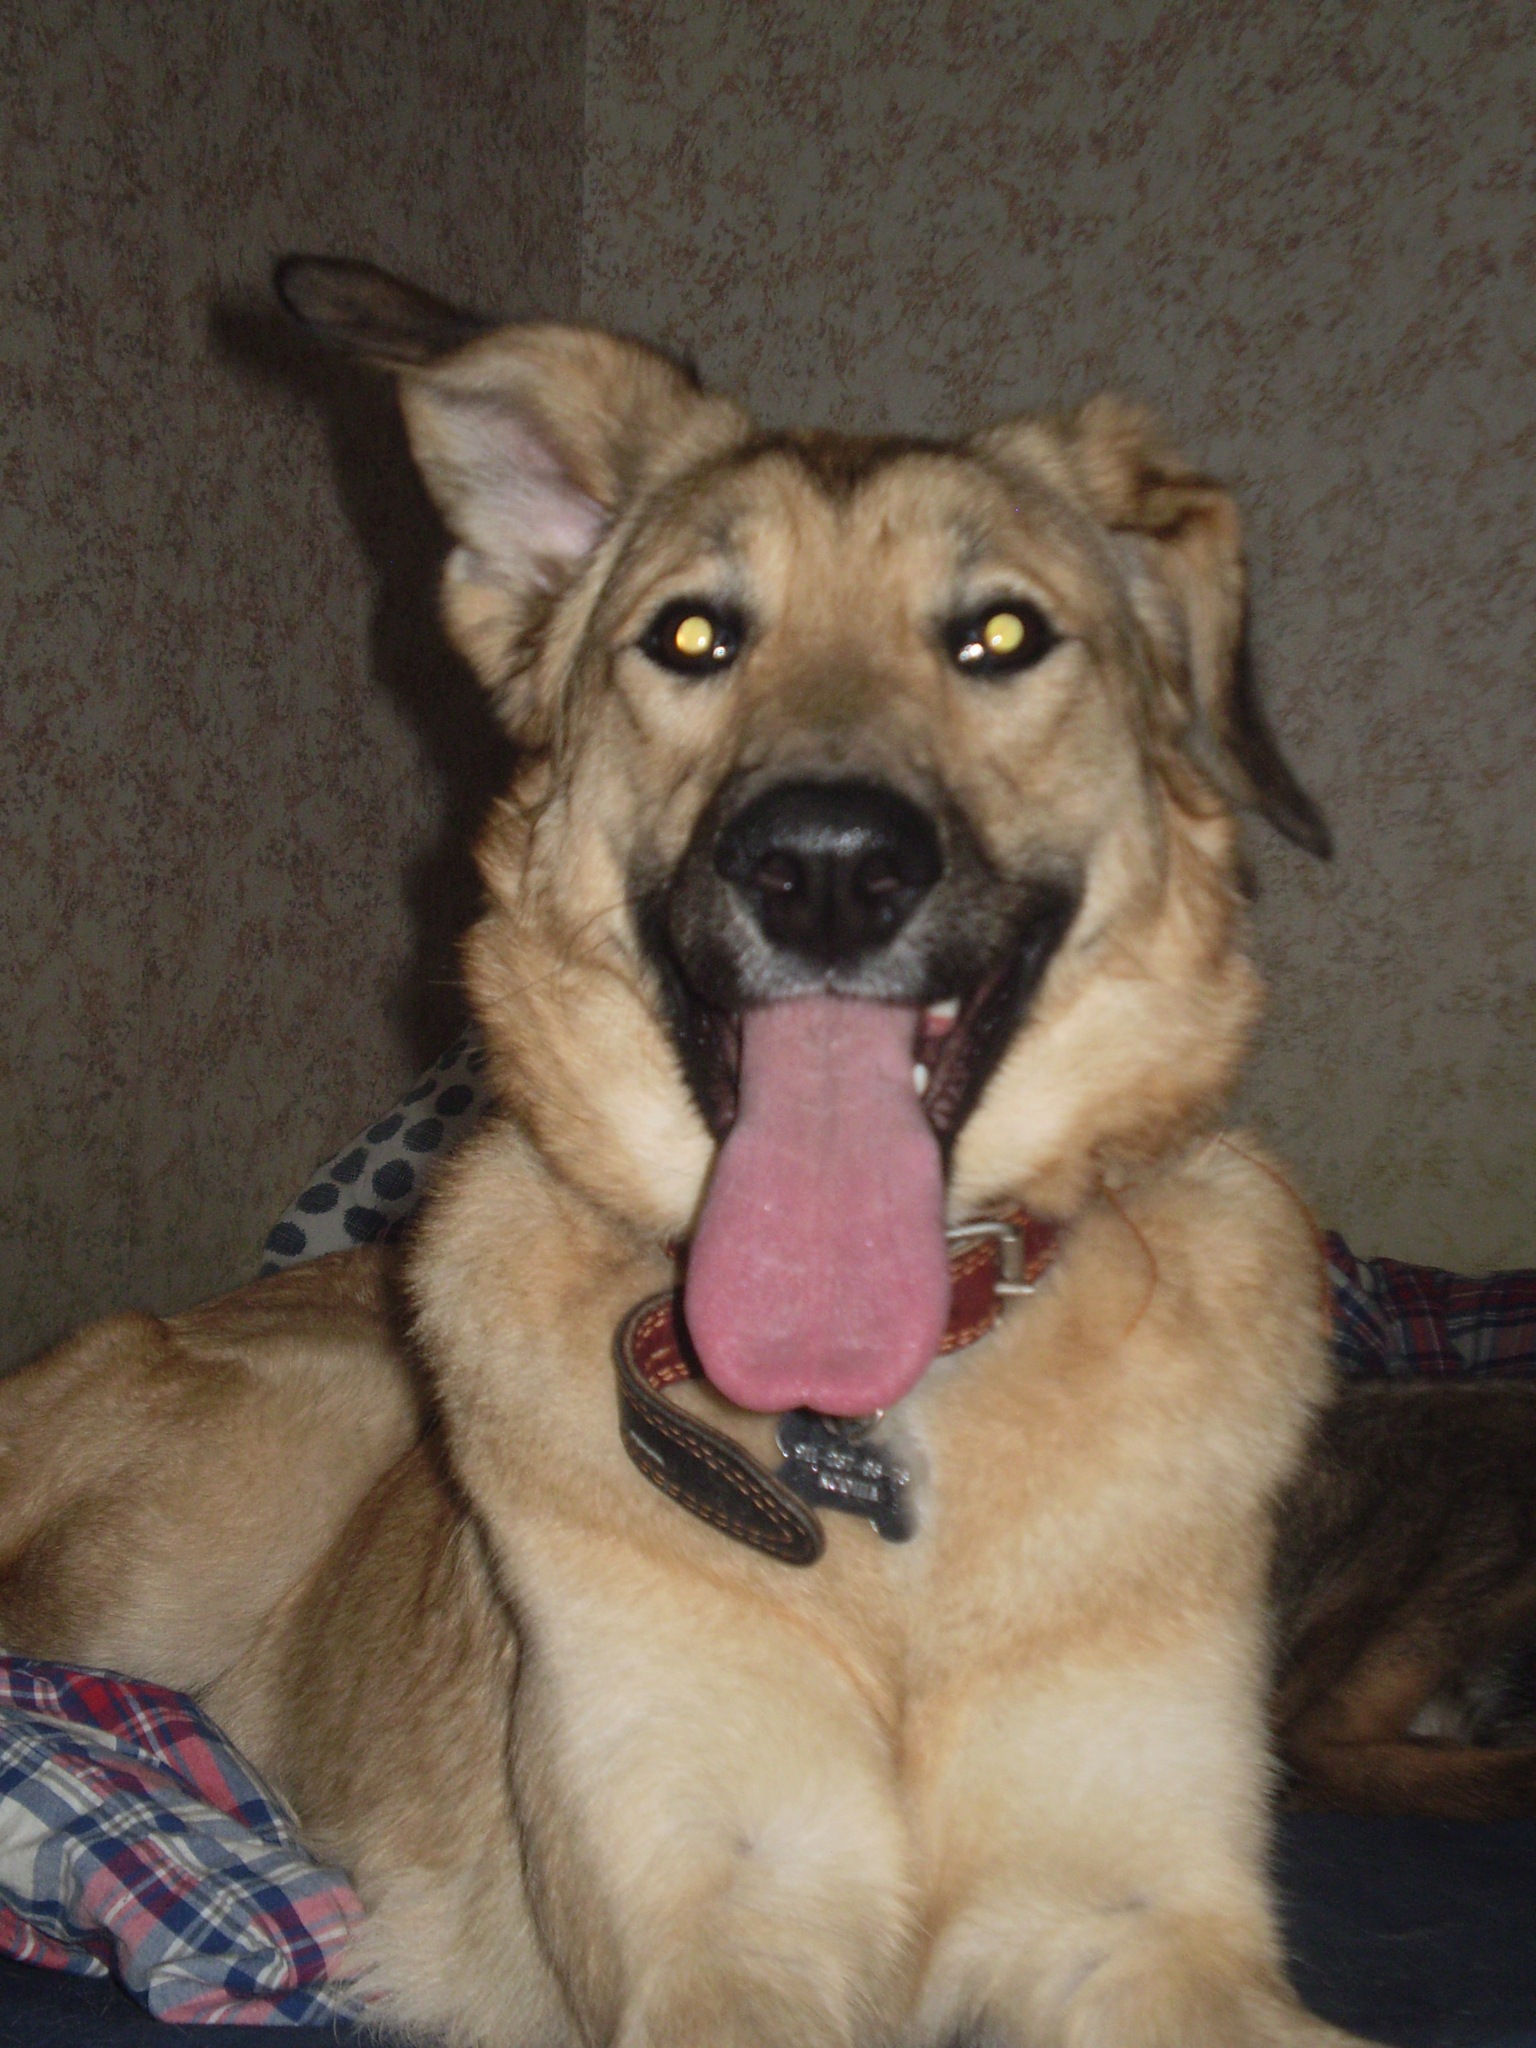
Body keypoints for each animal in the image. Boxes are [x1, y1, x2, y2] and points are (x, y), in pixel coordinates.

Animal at [0, 255, 1379, 2047]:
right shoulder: (713, 1912)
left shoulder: (1139, 1923)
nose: (827, 865)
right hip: (255, 1468)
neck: (876, 1452)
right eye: (694, 635)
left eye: (1001, 633)